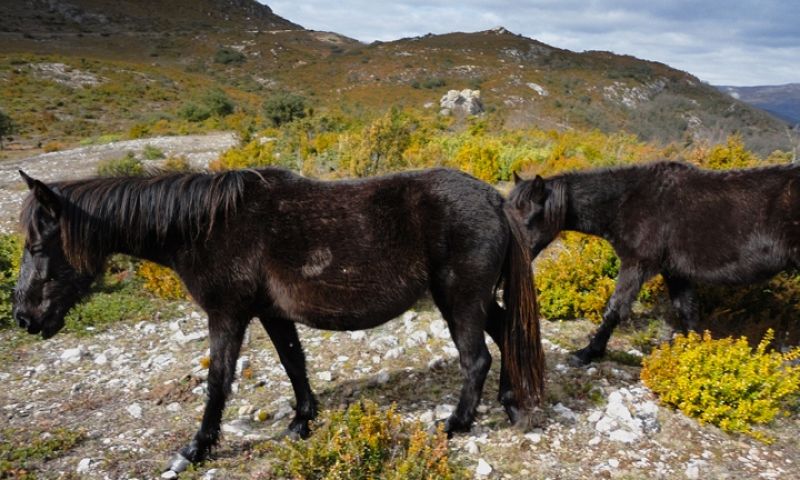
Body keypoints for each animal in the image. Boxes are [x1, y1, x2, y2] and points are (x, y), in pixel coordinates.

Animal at [12, 168, 548, 472]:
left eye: (37, 247)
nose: (23, 317)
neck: (203, 226)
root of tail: (495, 200)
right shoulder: (271, 313)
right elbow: (294, 364)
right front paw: (301, 422)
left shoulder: (228, 313)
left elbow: (218, 380)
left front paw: (196, 449)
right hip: (476, 299)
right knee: (506, 338)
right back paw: (513, 405)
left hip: (459, 298)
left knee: (476, 359)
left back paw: (454, 425)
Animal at [510, 160, 800, 364]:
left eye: (528, 219)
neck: (628, 201)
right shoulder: (676, 272)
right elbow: (687, 311)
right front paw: (694, 357)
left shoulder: (636, 265)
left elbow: (615, 308)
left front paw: (588, 353)